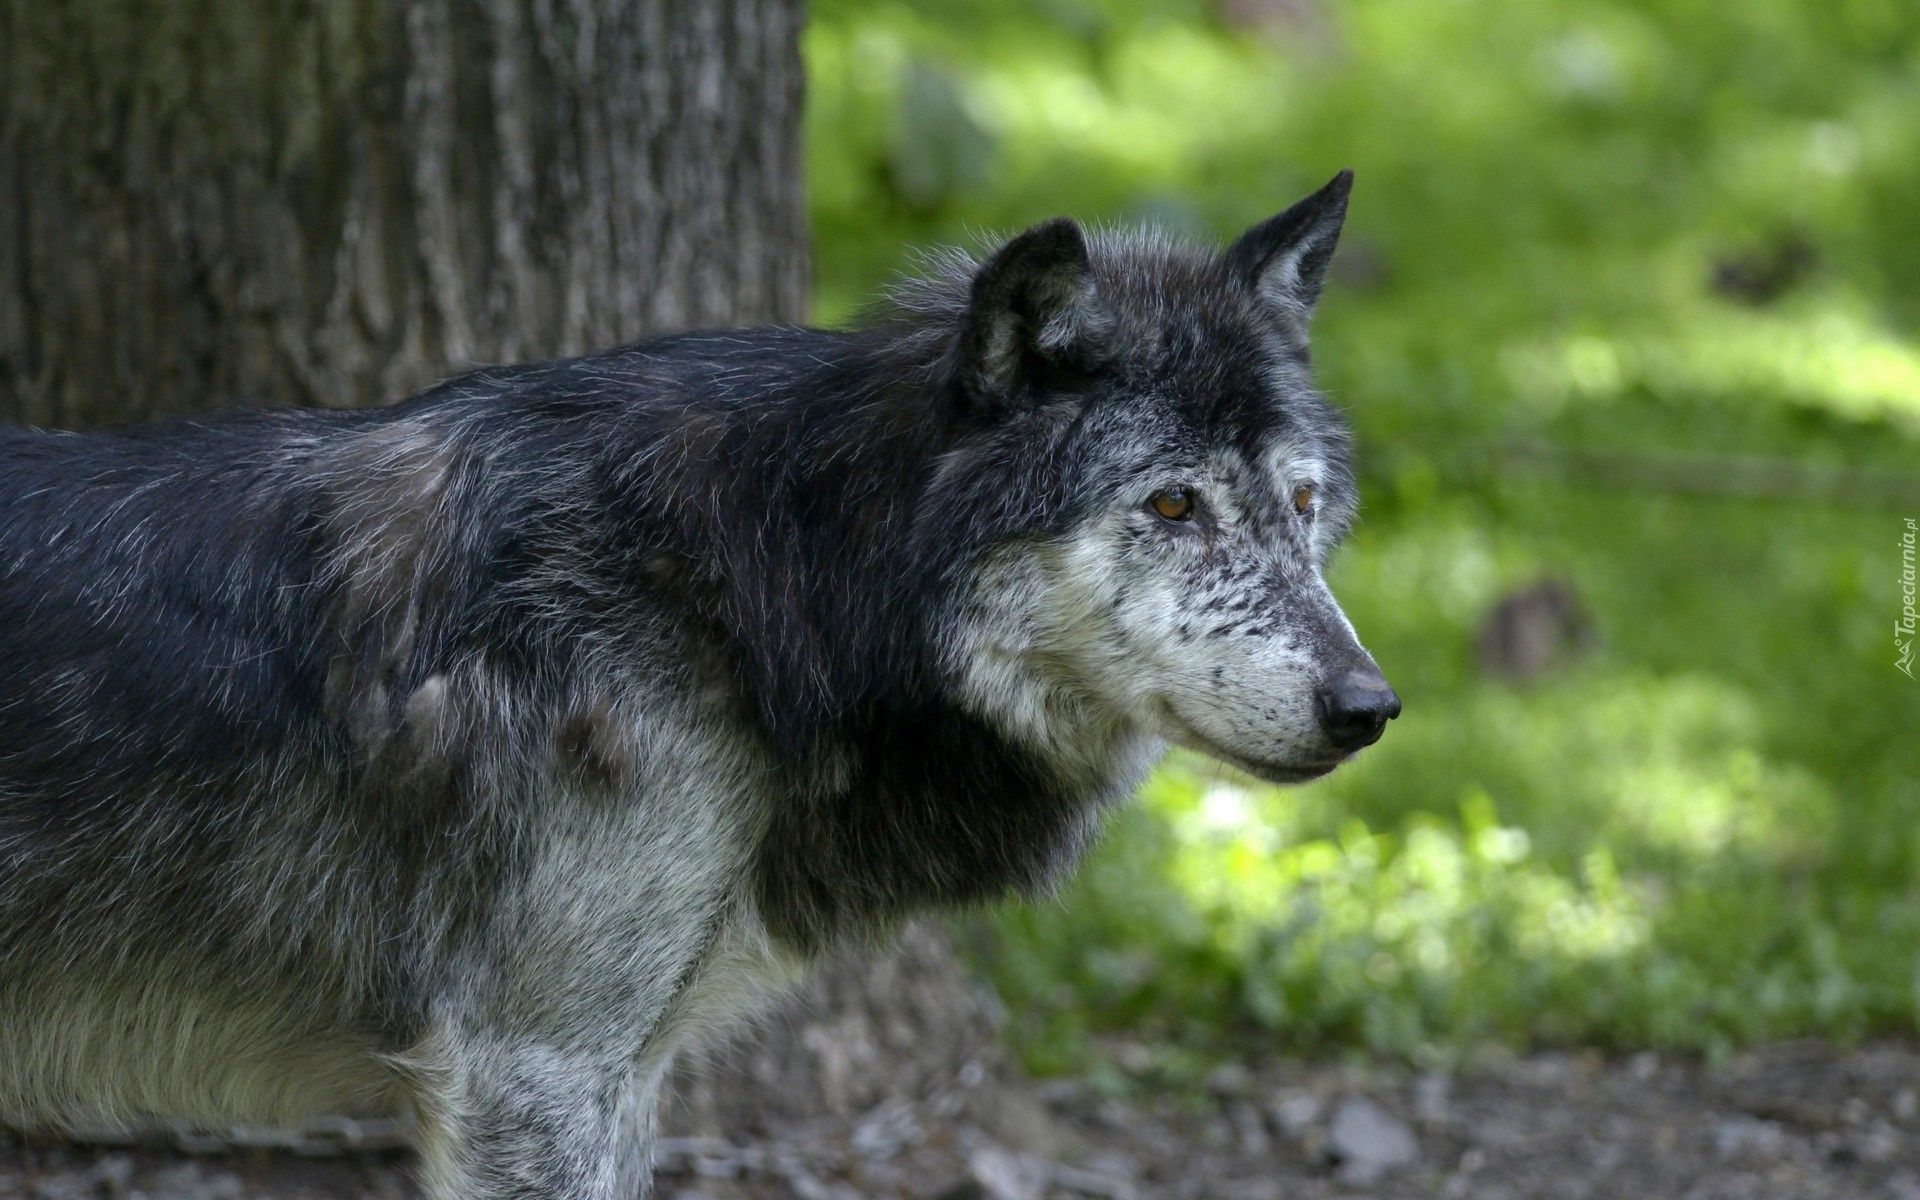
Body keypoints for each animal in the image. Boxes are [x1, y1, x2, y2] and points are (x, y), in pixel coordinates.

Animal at [3, 170, 1397, 1198]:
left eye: (1302, 504)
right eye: (1171, 505)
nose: (1369, 709)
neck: (761, 590)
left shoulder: (615, 1072)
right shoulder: (535, 1073)